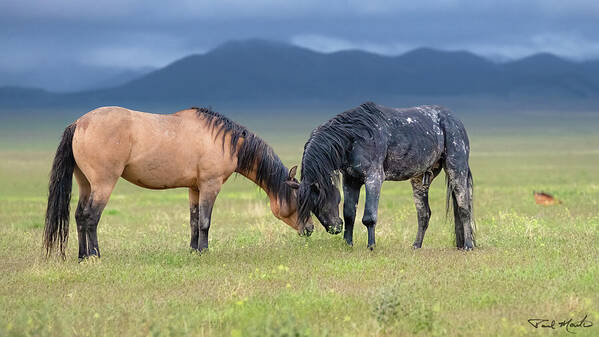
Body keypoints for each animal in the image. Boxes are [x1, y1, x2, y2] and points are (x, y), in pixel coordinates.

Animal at [42, 105, 314, 260]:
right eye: (299, 200)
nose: (310, 229)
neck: (224, 141)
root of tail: (79, 123)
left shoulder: (194, 188)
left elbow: (194, 220)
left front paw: (194, 250)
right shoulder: (210, 185)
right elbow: (205, 221)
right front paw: (204, 251)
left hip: (85, 184)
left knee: (79, 216)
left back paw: (81, 256)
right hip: (103, 185)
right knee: (91, 218)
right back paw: (94, 255)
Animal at [292, 101, 476, 249]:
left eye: (320, 200)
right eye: (312, 206)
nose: (335, 228)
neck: (355, 136)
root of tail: (455, 120)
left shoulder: (373, 178)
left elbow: (369, 217)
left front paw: (371, 246)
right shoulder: (350, 181)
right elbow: (350, 214)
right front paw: (348, 244)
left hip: (456, 170)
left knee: (464, 209)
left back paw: (468, 245)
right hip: (420, 180)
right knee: (424, 214)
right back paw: (416, 246)